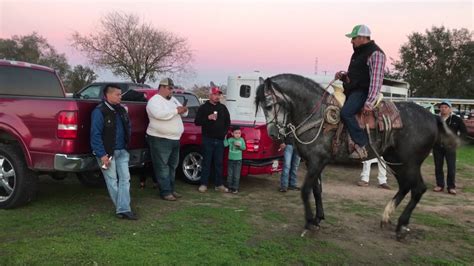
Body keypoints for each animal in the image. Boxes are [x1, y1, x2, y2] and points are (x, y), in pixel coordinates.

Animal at [256, 74, 460, 240]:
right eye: (262, 107)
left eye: (269, 105)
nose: (273, 134)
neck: (317, 114)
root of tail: (433, 117)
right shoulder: (313, 163)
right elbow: (317, 190)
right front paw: (318, 218)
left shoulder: (316, 162)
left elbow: (305, 191)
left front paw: (308, 223)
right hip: (396, 160)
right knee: (406, 186)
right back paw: (387, 217)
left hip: (410, 162)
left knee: (418, 188)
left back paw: (401, 225)